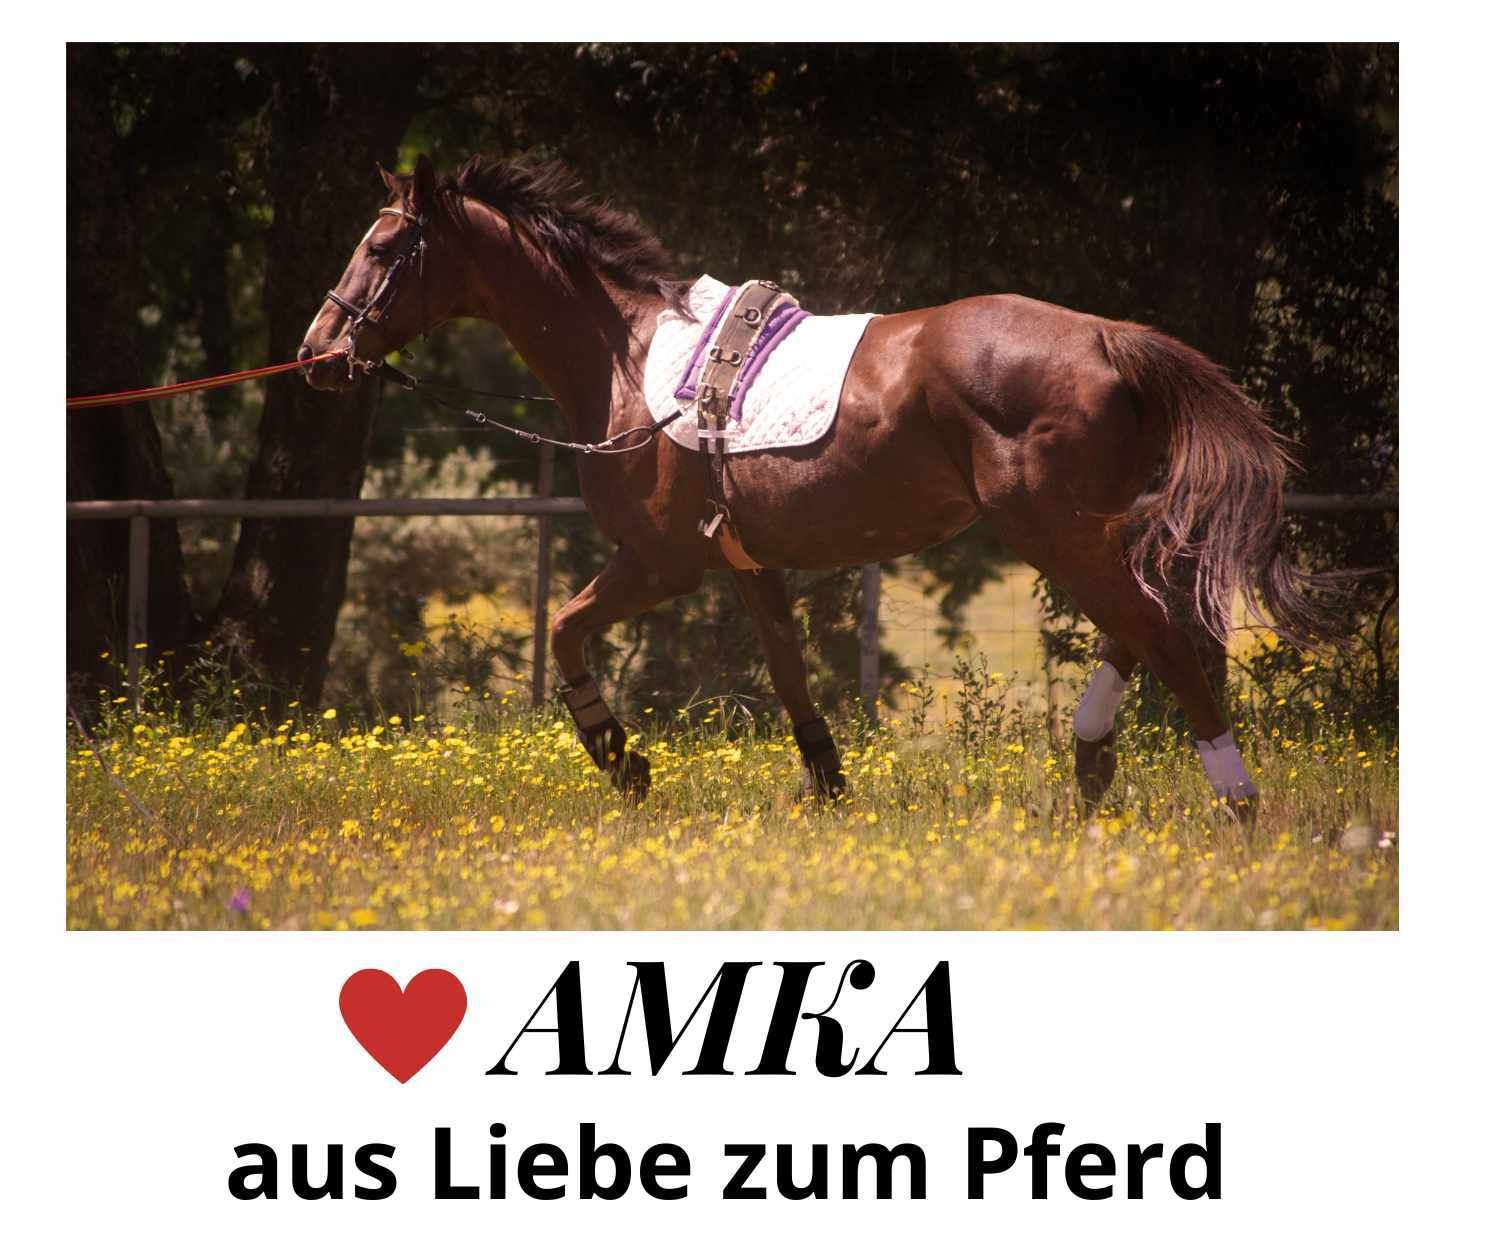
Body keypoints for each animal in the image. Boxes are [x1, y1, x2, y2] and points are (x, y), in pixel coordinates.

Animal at [299, 154, 1335, 813]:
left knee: (1162, 631)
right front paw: (827, 782)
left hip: (1056, 534)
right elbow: (789, 669)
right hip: (1090, 532)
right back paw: (1091, 757)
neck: (626, 359)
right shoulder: (747, 565)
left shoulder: (661, 563)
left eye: (383, 249)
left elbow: (562, 631)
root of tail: (1107, 336)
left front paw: (621, 760)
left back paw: (1232, 798)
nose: (316, 354)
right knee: (1150, 619)